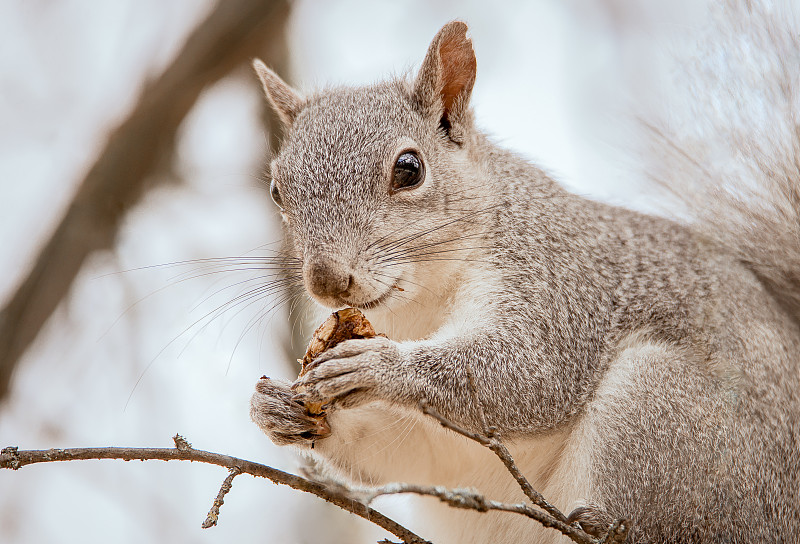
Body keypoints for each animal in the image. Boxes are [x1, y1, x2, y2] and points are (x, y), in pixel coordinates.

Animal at [250, 3, 800, 540]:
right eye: (277, 189)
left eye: (409, 168)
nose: (326, 280)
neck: (420, 304)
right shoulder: (437, 442)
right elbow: (411, 452)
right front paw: (275, 410)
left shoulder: (555, 278)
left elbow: (531, 371)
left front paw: (377, 367)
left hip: (666, 415)